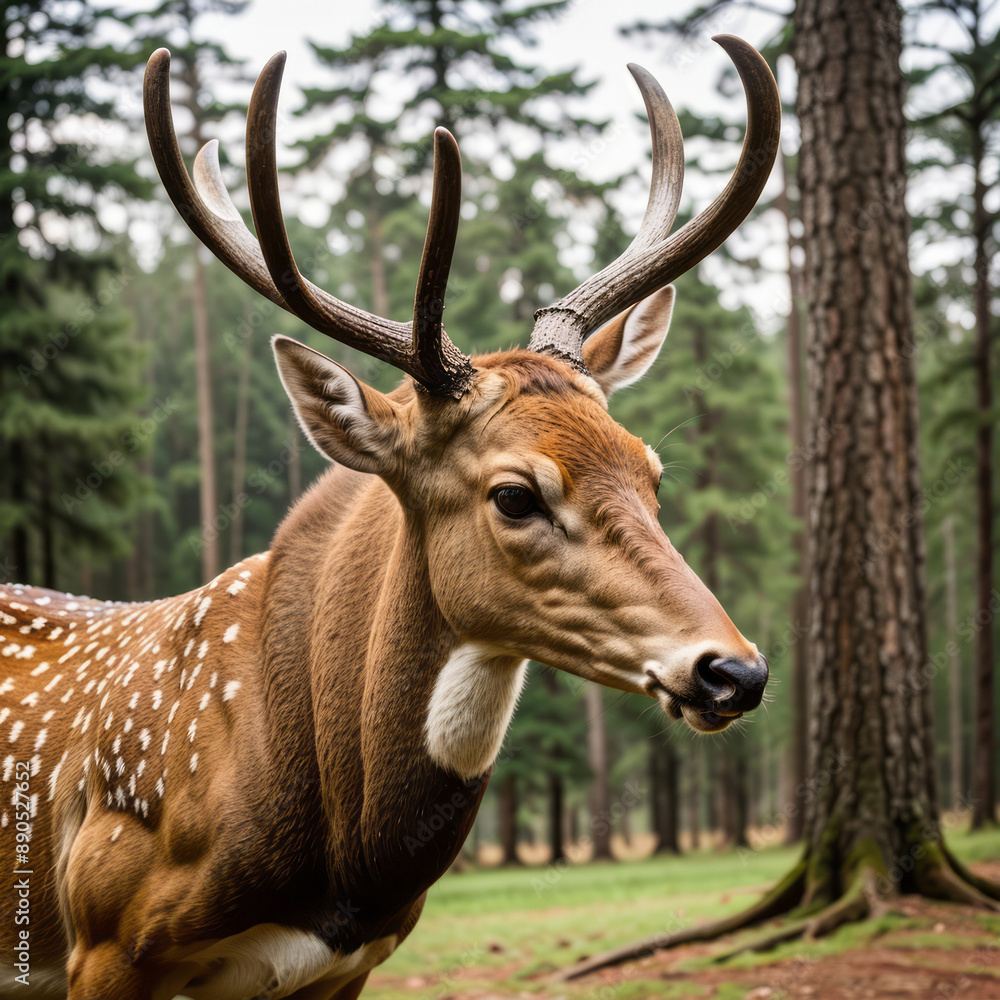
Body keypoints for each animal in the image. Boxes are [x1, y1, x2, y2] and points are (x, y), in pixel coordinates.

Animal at [0, 34, 779, 1000]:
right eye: (516, 494)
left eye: (652, 471)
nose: (733, 671)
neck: (341, 869)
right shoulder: (101, 938)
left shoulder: (345, 967)